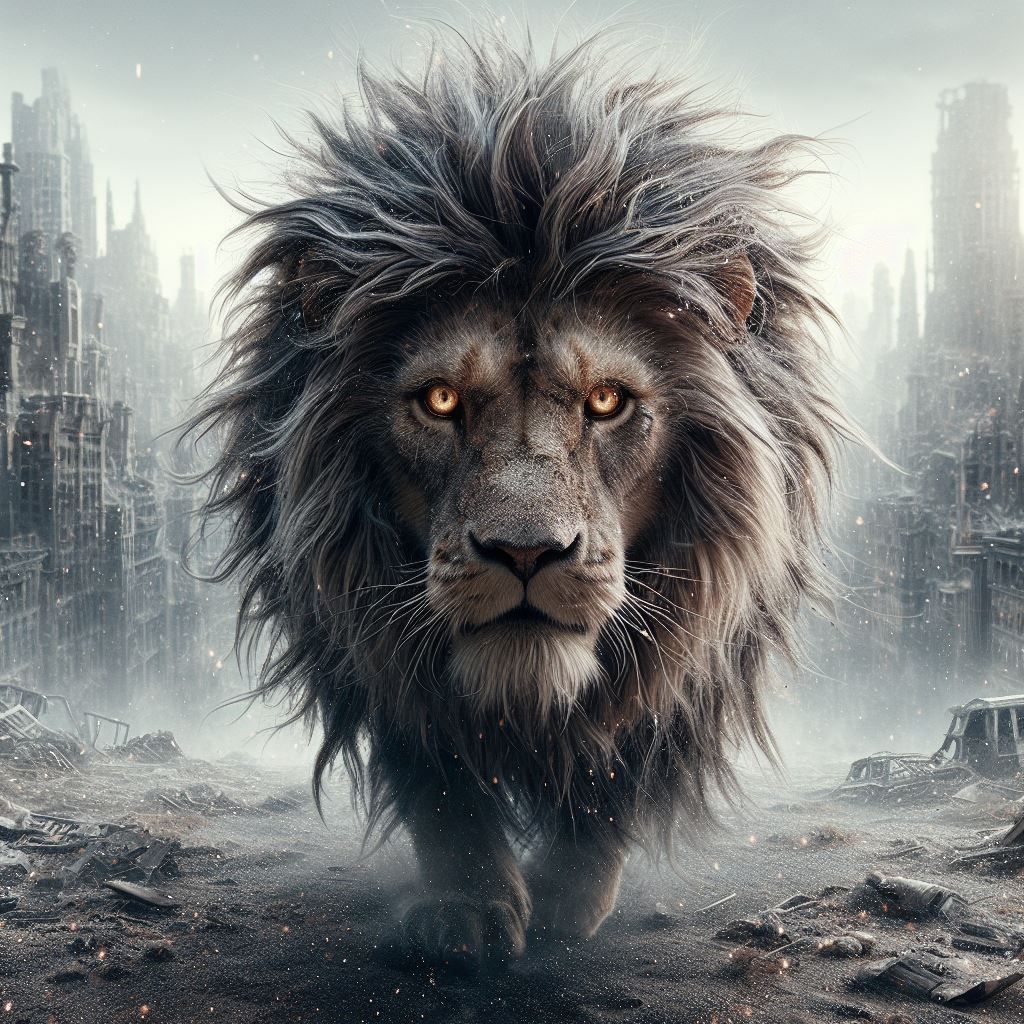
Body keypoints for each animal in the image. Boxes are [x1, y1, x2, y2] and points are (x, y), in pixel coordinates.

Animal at [186, 30, 846, 970]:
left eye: (606, 401)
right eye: (440, 401)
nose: (526, 553)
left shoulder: (690, 660)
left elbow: (615, 777)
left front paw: (569, 903)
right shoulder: (372, 651)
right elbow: (441, 787)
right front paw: (468, 910)